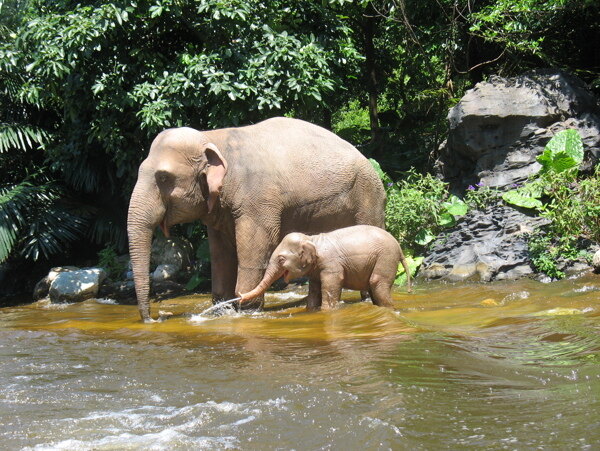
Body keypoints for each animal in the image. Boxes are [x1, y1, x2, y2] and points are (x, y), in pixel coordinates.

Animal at [129, 116, 386, 322]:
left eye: (164, 177)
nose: (155, 318)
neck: (212, 137)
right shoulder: (219, 208)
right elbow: (220, 253)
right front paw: (223, 309)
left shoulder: (258, 201)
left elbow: (255, 249)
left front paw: (246, 310)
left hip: (368, 197)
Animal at [240, 226, 412, 310]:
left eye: (281, 259)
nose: (240, 296)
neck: (312, 239)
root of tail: (399, 246)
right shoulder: (315, 270)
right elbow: (314, 290)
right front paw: (310, 310)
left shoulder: (331, 265)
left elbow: (331, 284)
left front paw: (326, 311)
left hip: (386, 258)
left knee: (377, 283)